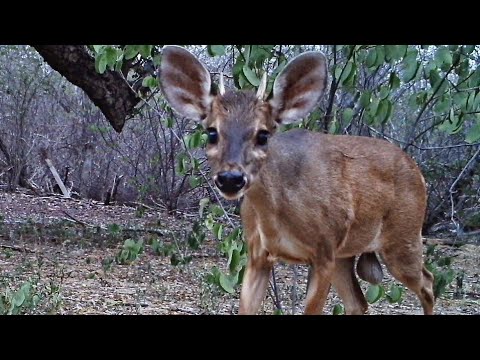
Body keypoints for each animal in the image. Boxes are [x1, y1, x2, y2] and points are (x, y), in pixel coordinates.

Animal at [159, 45, 436, 316]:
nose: (230, 179)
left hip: (403, 237)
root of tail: (418, 172)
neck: (277, 216)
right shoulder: (257, 253)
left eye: (263, 135)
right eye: (212, 133)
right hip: (347, 253)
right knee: (359, 302)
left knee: (428, 282)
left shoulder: (324, 250)